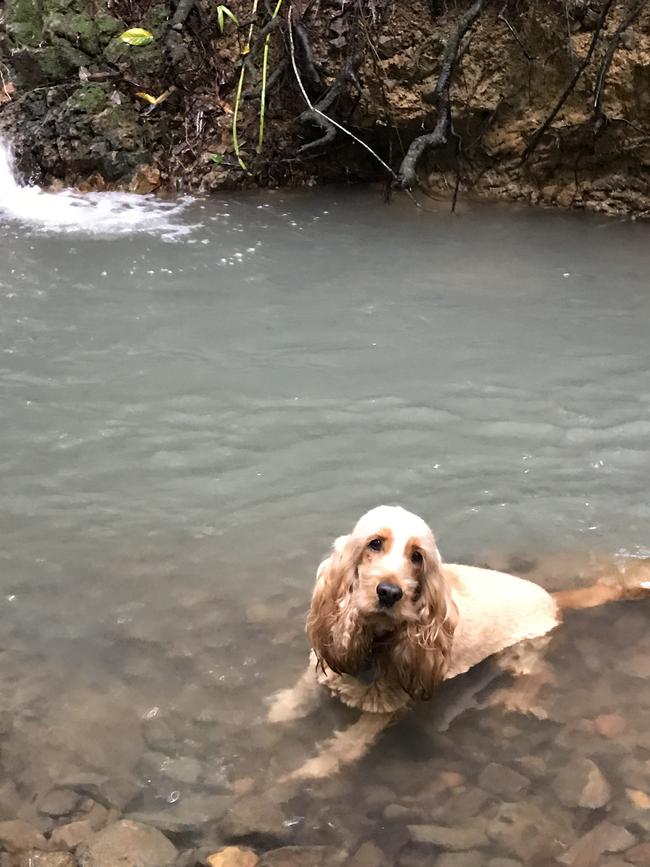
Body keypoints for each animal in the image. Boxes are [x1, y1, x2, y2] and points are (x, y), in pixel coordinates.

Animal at [266, 502, 644, 780]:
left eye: (417, 556)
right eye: (375, 543)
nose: (389, 592)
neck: (374, 642)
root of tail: (554, 599)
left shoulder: (386, 708)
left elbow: (345, 747)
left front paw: (308, 773)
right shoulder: (322, 668)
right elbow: (297, 696)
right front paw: (274, 716)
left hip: (521, 652)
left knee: (538, 675)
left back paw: (515, 699)